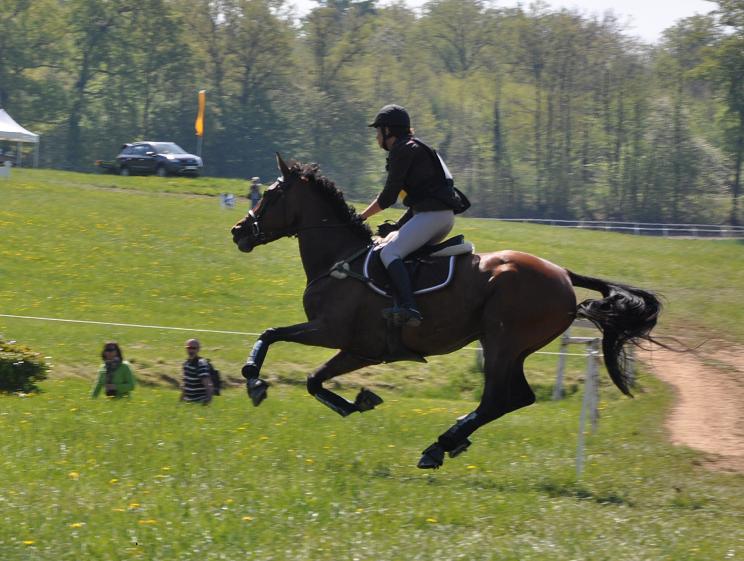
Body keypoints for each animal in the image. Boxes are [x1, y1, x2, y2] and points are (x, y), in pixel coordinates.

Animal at [230, 154, 660, 468]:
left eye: (270, 195)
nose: (238, 232)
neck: (339, 260)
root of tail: (563, 274)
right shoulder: (359, 350)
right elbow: (313, 380)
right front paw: (359, 401)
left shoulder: (329, 330)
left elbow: (271, 334)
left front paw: (253, 380)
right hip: (512, 348)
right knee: (516, 398)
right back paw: (450, 441)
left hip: (502, 342)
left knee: (497, 399)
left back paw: (438, 446)